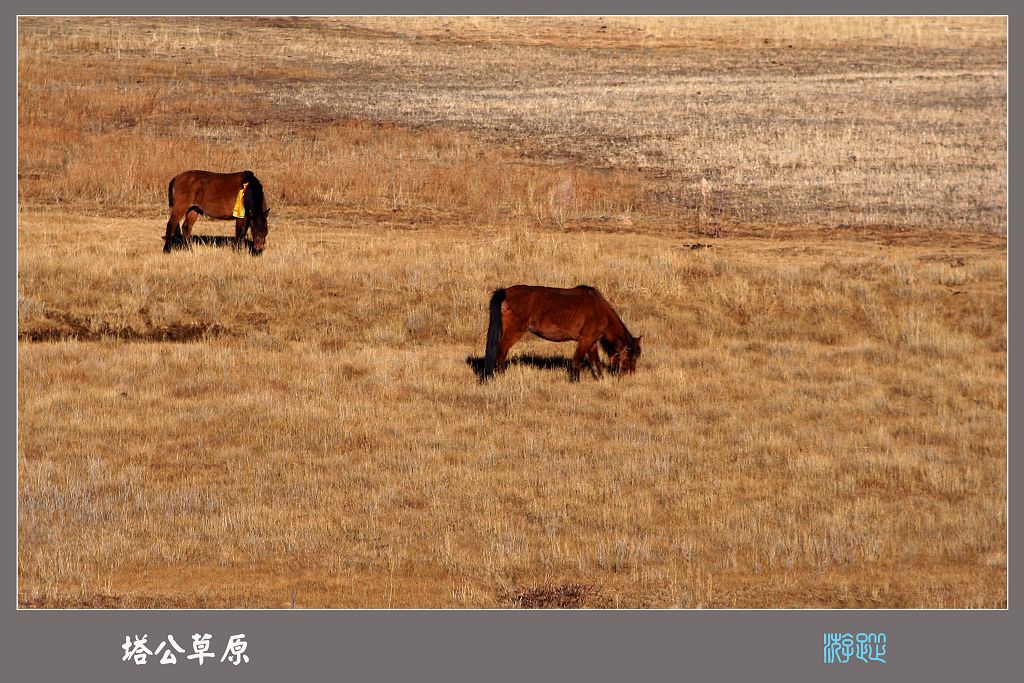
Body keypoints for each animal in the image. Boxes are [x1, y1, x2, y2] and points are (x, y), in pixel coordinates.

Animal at [479, 282, 638, 378]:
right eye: (630, 357)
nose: (630, 375)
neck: (600, 309)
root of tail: (505, 292)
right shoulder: (585, 339)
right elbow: (577, 359)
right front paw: (575, 380)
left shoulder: (592, 342)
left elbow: (595, 362)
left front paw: (600, 379)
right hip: (514, 331)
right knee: (500, 351)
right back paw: (497, 376)